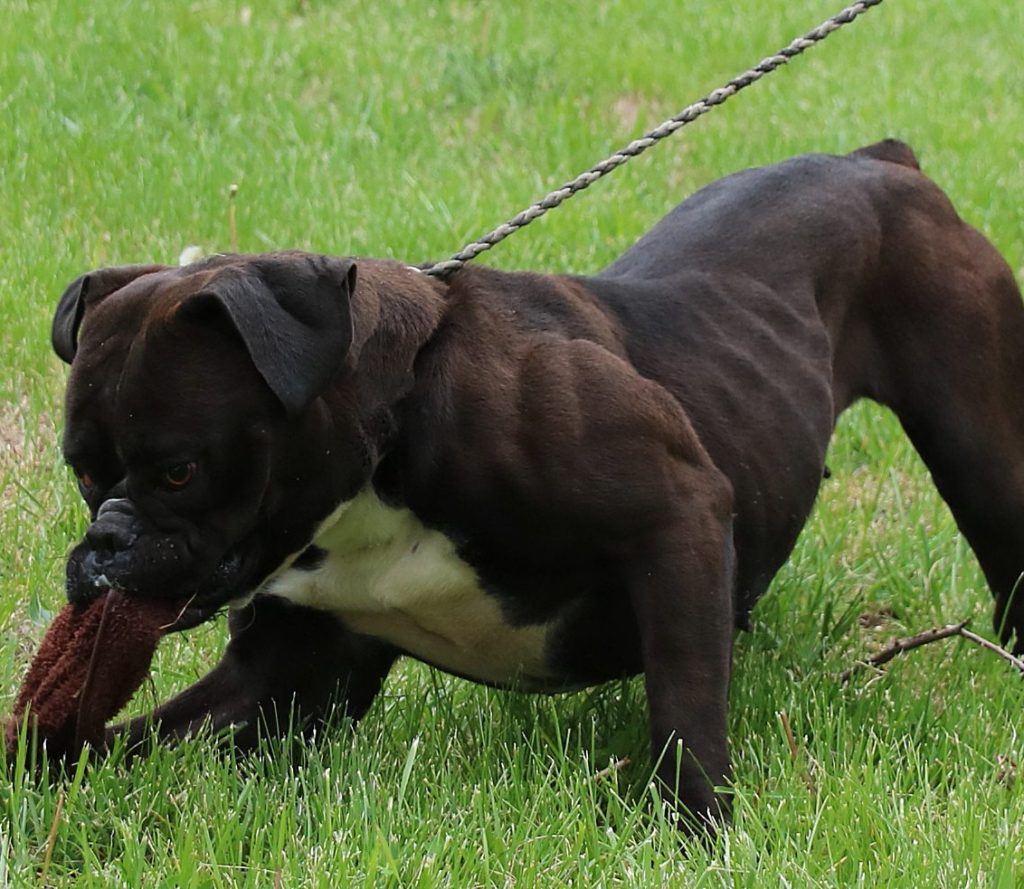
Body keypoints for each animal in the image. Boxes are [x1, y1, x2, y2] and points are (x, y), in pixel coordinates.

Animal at [49, 139, 1024, 827]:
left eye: (180, 469)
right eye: (85, 474)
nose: (104, 544)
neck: (385, 453)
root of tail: (878, 163)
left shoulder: (677, 516)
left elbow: (685, 701)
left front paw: (698, 829)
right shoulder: (283, 676)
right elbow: (133, 739)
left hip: (980, 445)